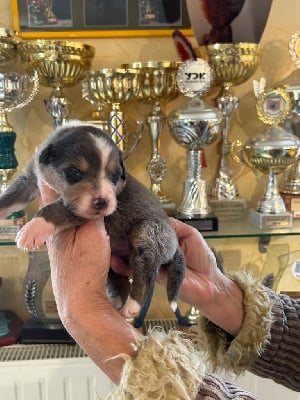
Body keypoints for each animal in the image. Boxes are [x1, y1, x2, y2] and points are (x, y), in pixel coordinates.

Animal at [0, 122, 185, 322]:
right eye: (74, 171)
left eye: (115, 175)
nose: (102, 202)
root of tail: (175, 245)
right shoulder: (29, 179)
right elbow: (9, 198)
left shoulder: (79, 209)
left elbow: (54, 209)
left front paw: (32, 229)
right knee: (121, 283)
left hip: (149, 233)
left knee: (145, 275)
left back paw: (131, 306)